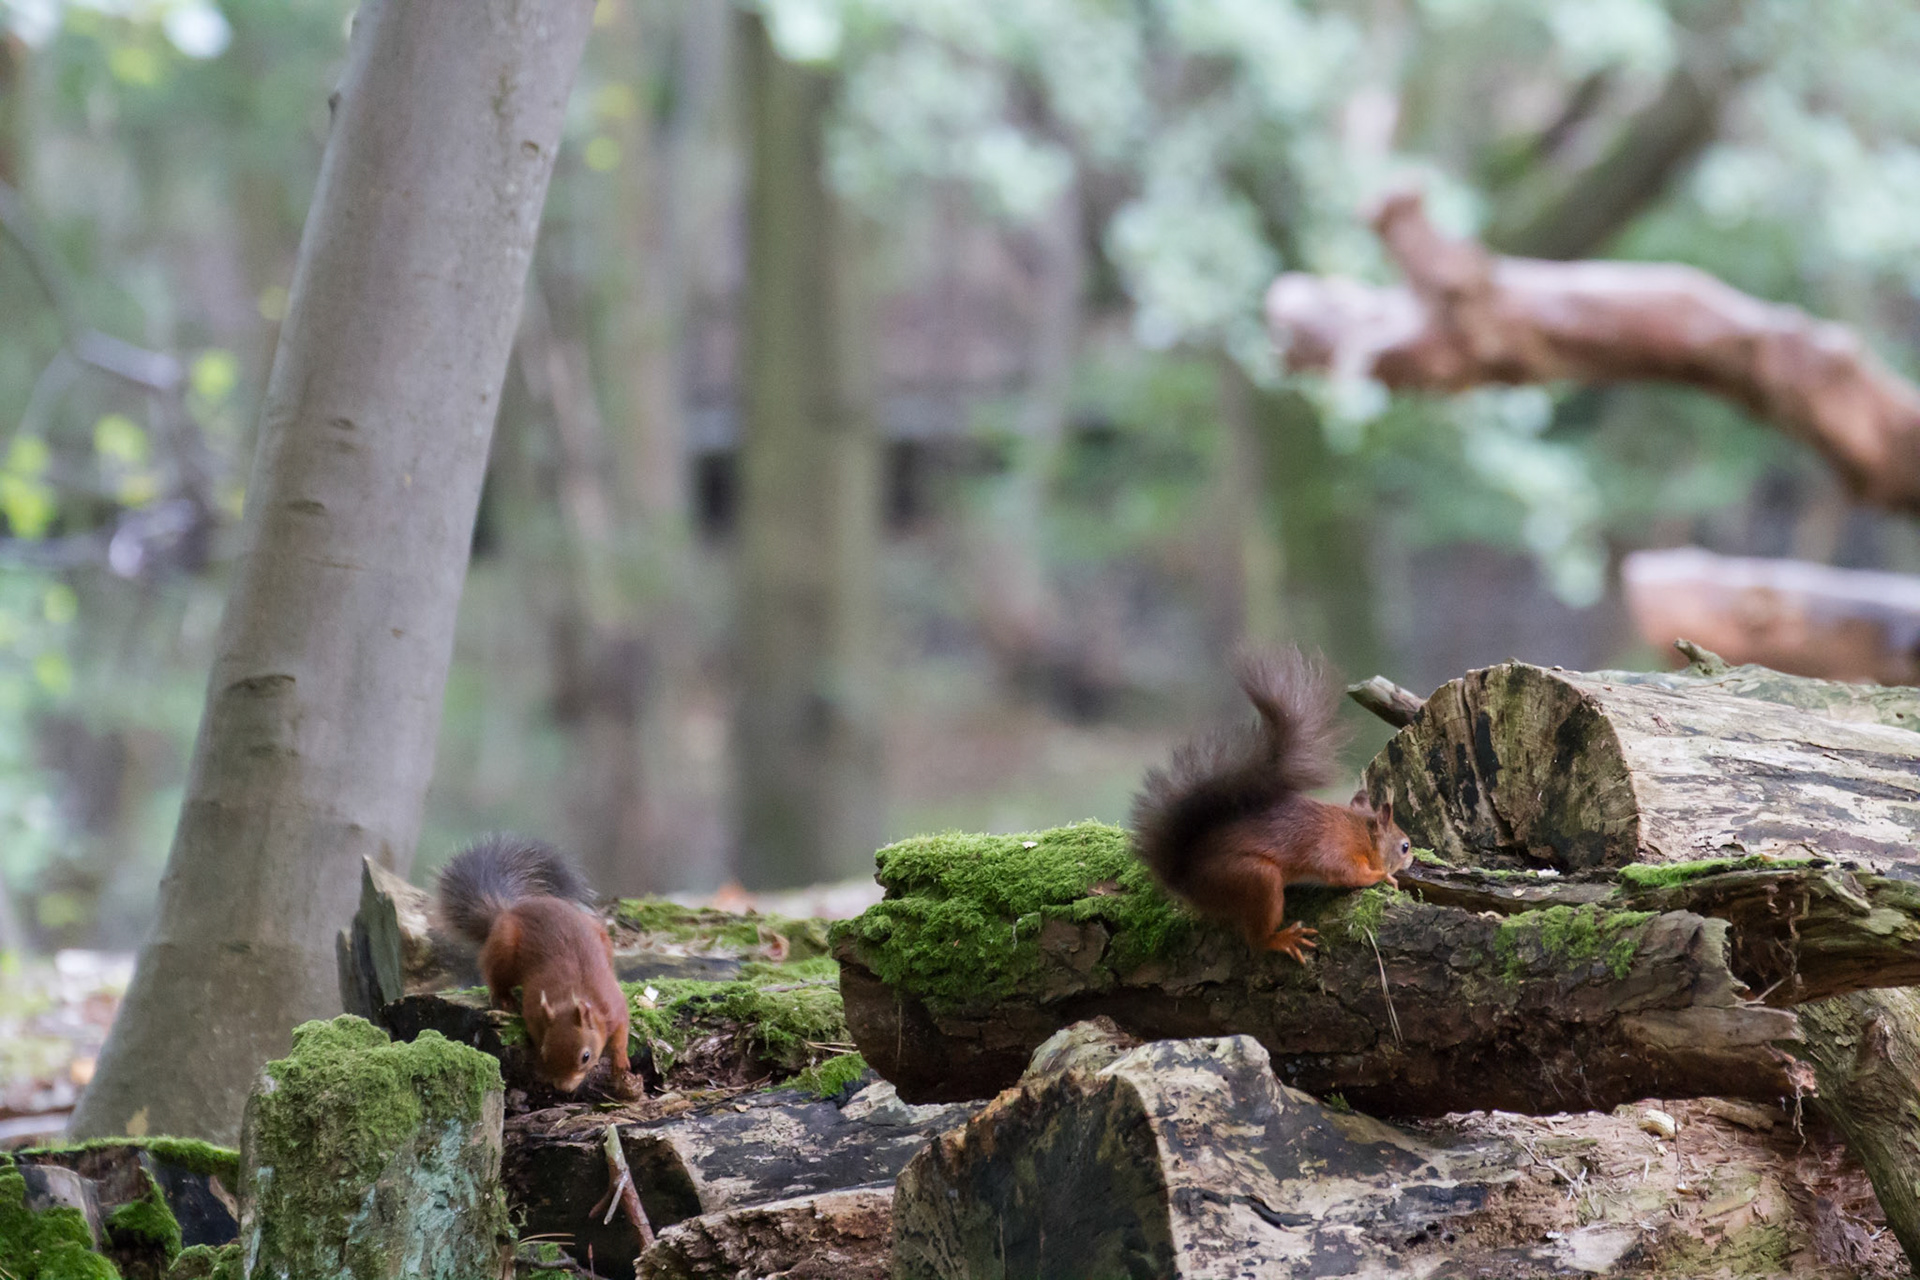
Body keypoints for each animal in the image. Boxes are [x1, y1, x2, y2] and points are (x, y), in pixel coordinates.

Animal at [436, 834, 632, 1092]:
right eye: (545, 1052)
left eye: (586, 1056)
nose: (563, 1088)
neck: (573, 995)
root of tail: (508, 910)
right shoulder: (534, 1007)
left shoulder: (614, 1005)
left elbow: (621, 1034)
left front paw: (621, 1063)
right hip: (504, 947)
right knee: (494, 977)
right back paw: (504, 999)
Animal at [1130, 647, 1413, 963]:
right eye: (1404, 846)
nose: (1412, 859)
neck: (1359, 831)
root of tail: (1183, 878)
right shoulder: (1337, 851)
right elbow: (1345, 873)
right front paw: (1385, 876)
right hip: (1254, 879)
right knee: (1256, 938)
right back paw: (1281, 939)